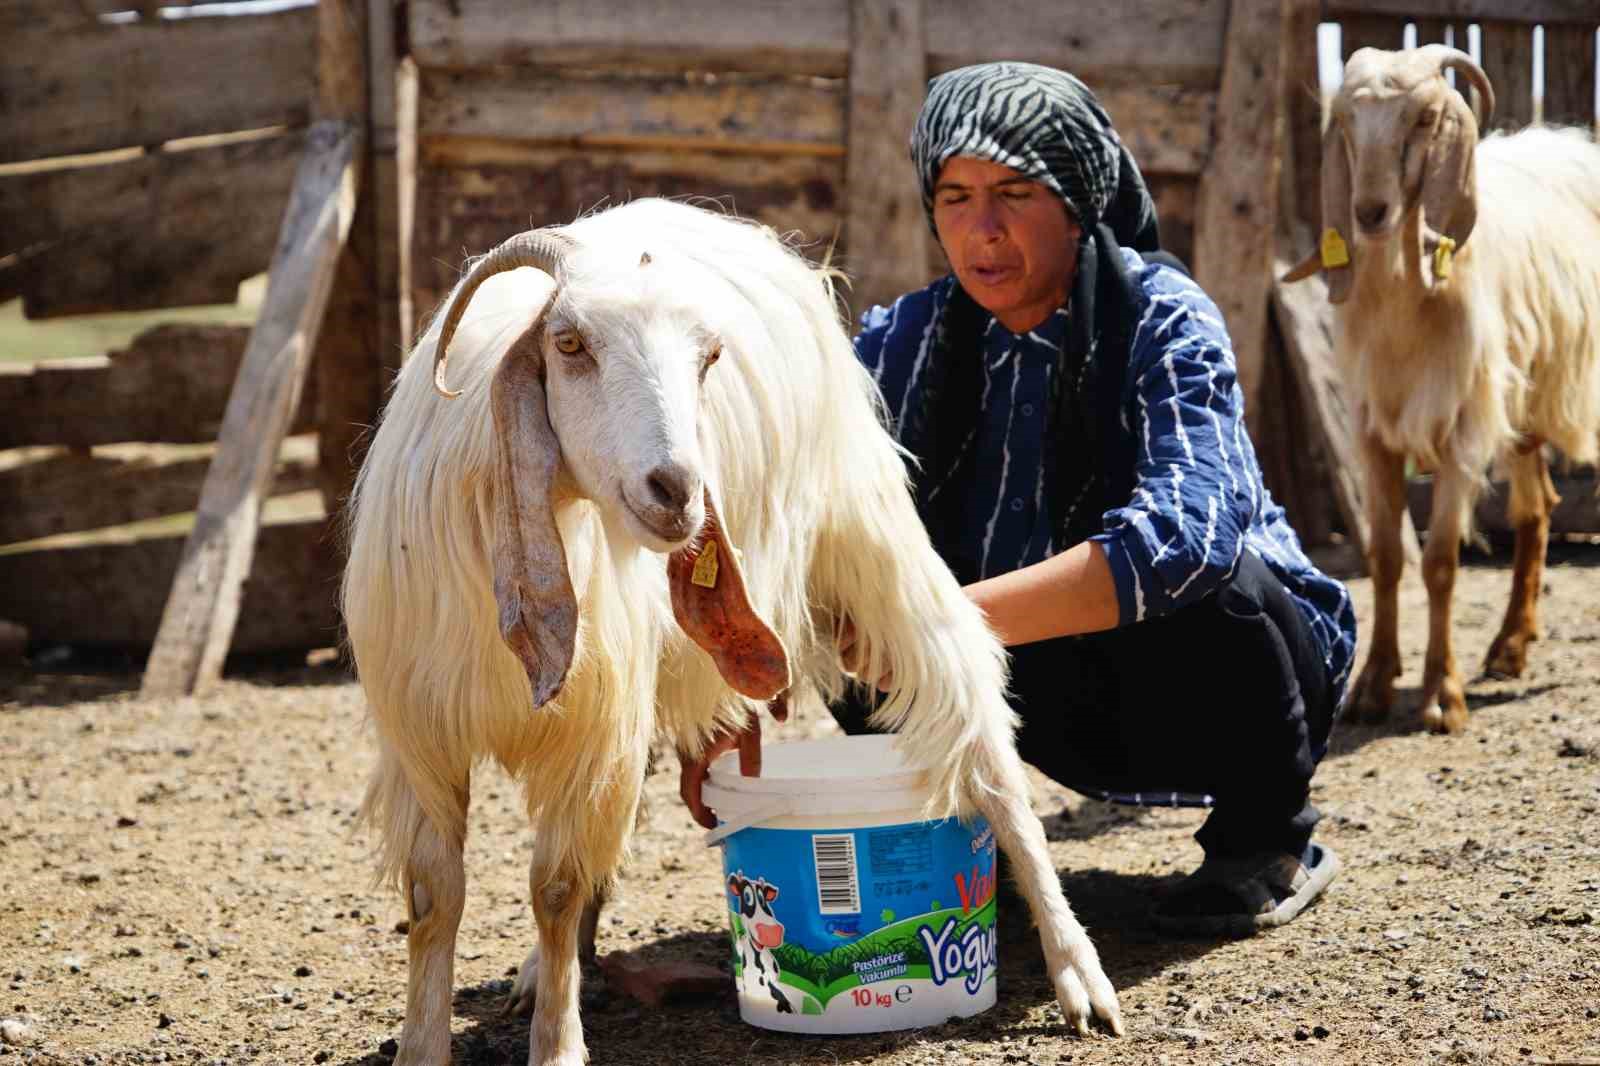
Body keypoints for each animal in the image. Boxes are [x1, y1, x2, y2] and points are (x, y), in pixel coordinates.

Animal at [347, 195, 1126, 1056]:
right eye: (570, 343)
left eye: (709, 357)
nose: (679, 490)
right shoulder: (421, 726)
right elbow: (434, 896)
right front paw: (425, 1044)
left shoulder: (591, 731)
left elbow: (554, 886)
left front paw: (558, 1044)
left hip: (873, 538)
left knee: (988, 753)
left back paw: (1079, 975)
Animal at [1286, 47, 1600, 729]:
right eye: (1346, 120)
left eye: (1426, 118)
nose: (1370, 212)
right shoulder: (1373, 430)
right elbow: (1385, 558)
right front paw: (1373, 686)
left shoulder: (1460, 429)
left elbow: (1440, 564)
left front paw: (1440, 695)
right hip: (1518, 406)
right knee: (1537, 510)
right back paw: (1510, 646)